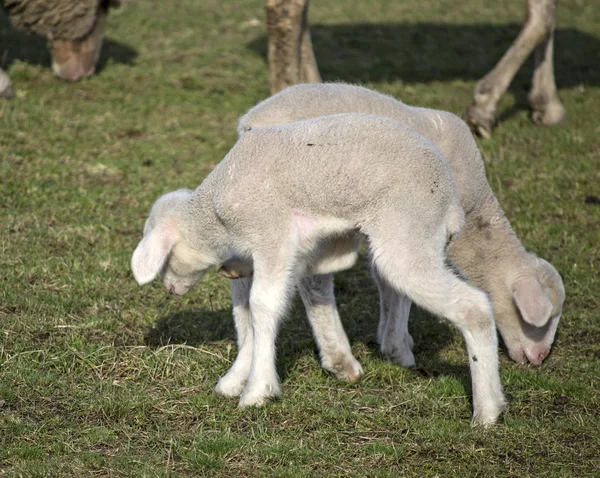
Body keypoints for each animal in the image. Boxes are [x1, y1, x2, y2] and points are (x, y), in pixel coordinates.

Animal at [130, 113, 506, 426]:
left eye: (165, 259)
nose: (170, 289)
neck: (216, 212)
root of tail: (452, 203)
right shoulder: (296, 249)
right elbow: (257, 307)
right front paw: (235, 378)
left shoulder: (273, 234)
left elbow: (262, 305)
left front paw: (257, 391)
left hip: (408, 232)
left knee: (473, 308)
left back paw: (487, 411)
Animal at [236, 82, 568, 368]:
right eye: (543, 319)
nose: (539, 358)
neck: (476, 218)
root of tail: (251, 122)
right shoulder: (413, 224)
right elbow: (396, 284)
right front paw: (398, 347)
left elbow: (383, 280)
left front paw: (391, 336)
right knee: (312, 280)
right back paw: (338, 357)